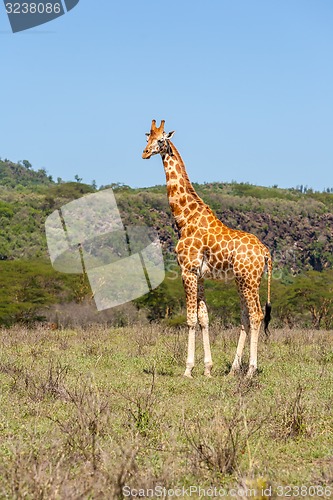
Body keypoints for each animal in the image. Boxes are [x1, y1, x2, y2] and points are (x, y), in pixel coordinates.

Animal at [141, 120, 272, 378]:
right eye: (147, 137)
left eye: (161, 139)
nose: (145, 153)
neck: (184, 218)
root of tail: (265, 252)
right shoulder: (200, 275)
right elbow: (204, 318)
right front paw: (208, 369)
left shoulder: (187, 270)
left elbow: (191, 318)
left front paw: (188, 369)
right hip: (242, 280)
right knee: (245, 316)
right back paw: (233, 370)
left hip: (249, 279)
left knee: (256, 315)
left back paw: (250, 370)